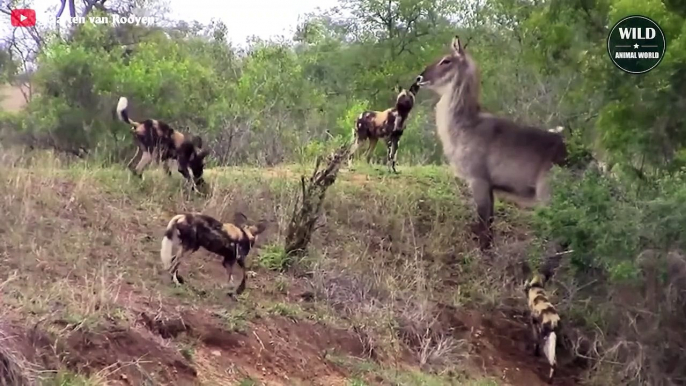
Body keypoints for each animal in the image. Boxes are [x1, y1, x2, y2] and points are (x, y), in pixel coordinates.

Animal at [414, 36, 568, 250]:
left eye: (446, 60)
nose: (419, 79)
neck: (467, 124)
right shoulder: (491, 187)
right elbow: (491, 223)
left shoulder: (478, 180)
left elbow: (482, 222)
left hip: (549, 198)